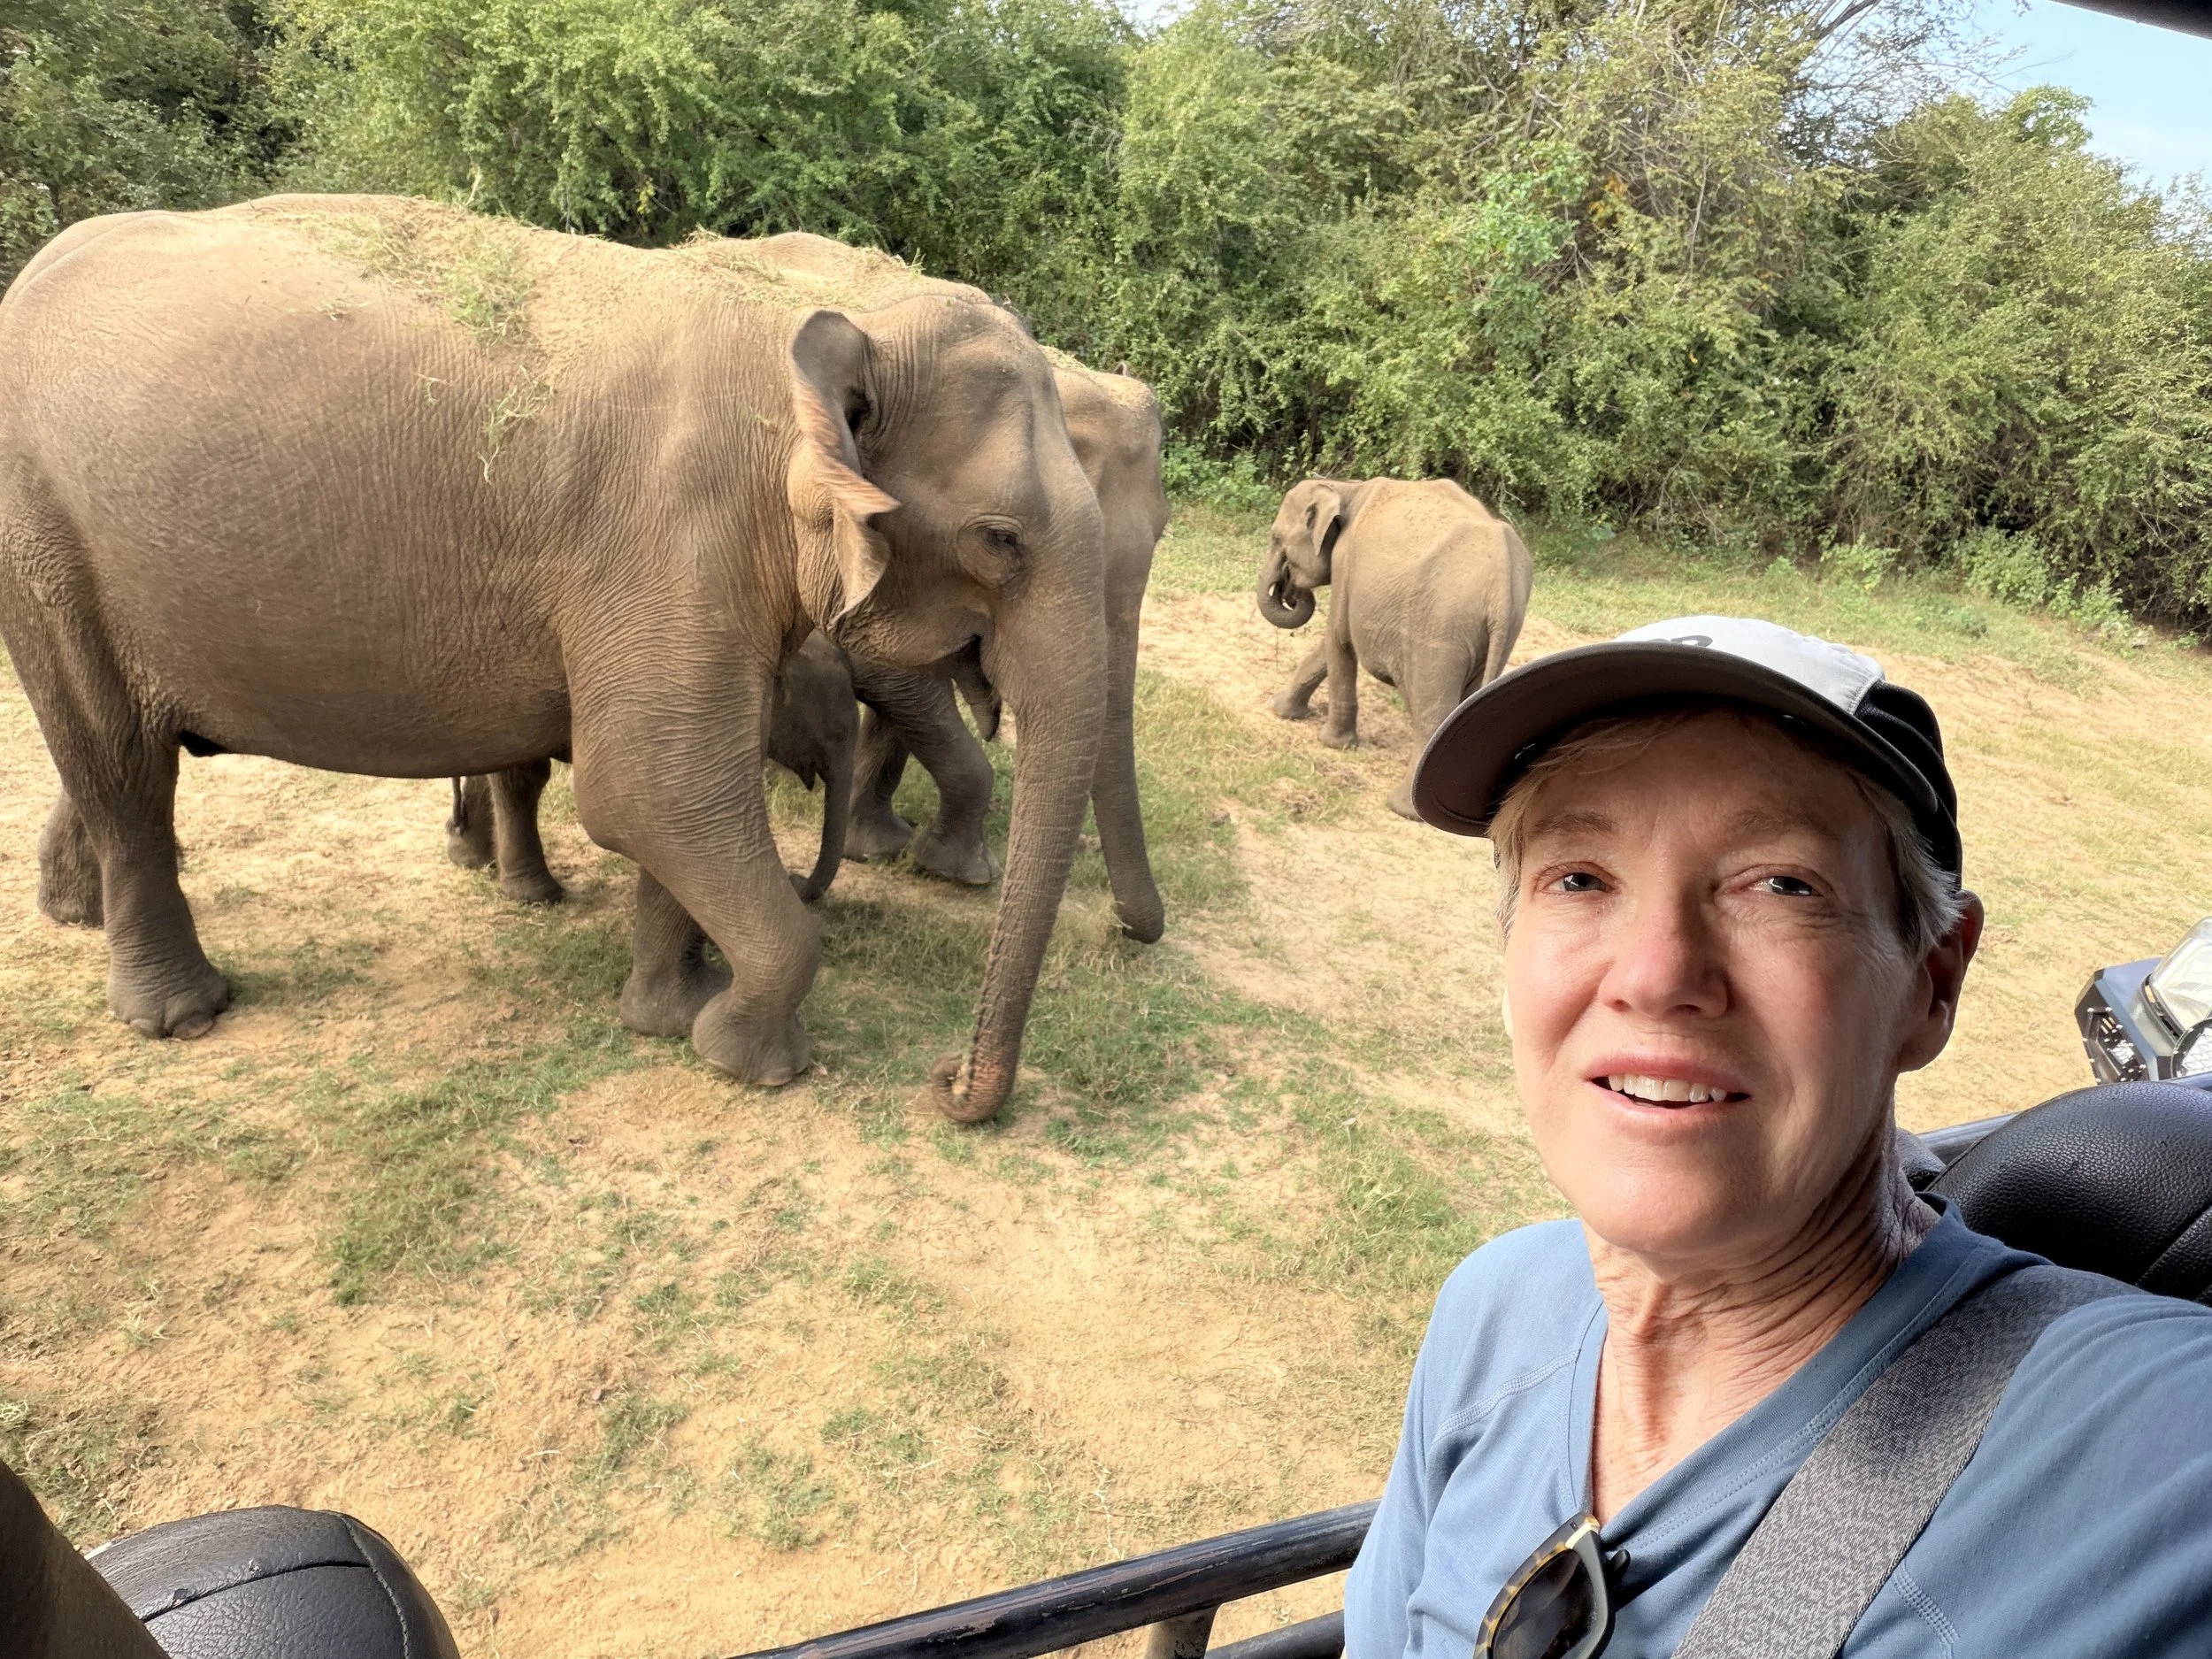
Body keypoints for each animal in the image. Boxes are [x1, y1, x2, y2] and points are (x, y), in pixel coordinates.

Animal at [1257, 477, 1533, 819]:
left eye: (1276, 537)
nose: (1291, 591)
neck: (1345, 488)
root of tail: (1503, 584)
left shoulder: (1345, 561)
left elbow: (1338, 640)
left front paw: (1333, 743)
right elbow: (1328, 647)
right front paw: (1279, 709)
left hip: (1439, 627)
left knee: (1431, 707)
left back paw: (1404, 809)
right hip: (1500, 631)